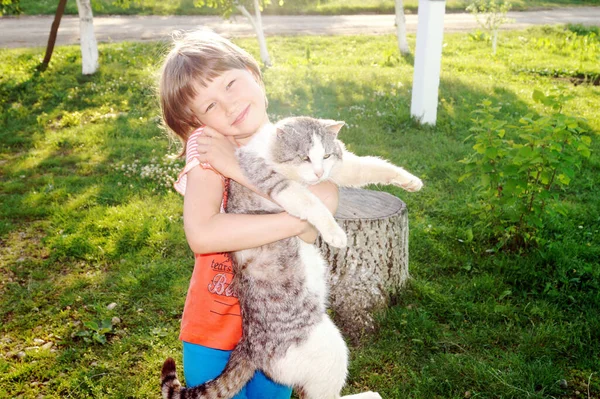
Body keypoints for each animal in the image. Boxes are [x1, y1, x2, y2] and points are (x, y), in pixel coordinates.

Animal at [159, 115, 422, 399]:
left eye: (325, 155)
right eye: (304, 157)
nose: (318, 173)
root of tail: (249, 346)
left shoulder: (339, 167)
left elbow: (370, 165)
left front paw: (410, 180)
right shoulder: (274, 182)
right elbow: (312, 203)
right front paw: (335, 233)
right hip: (330, 348)